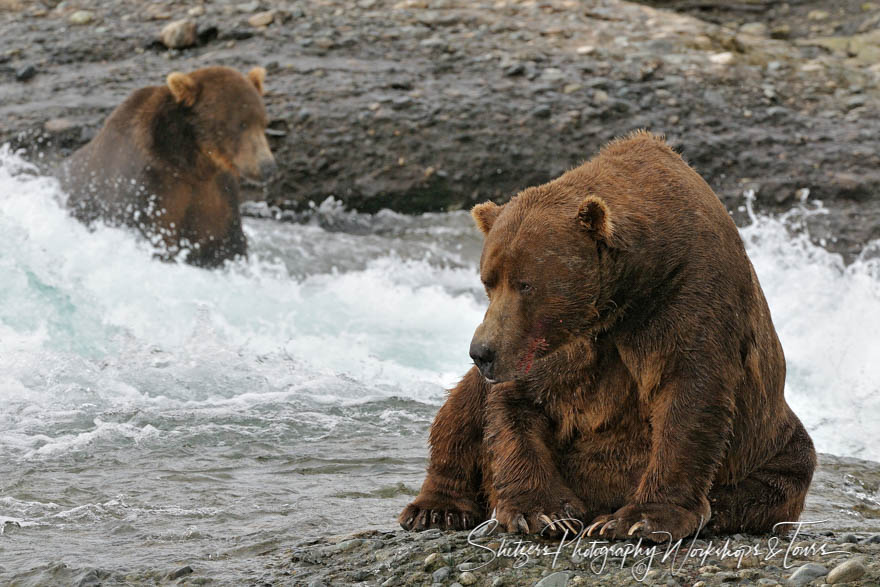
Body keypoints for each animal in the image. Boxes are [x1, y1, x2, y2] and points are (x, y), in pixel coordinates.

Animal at [62, 66, 276, 266]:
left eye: (263, 122)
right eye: (240, 124)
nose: (267, 166)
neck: (190, 164)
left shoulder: (216, 194)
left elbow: (226, 243)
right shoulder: (150, 188)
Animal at [400, 130, 820, 544]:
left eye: (526, 283)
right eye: (488, 280)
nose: (482, 352)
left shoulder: (690, 299)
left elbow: (689, 397)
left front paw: (639, 518)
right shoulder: (560, 349)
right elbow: (514, 409)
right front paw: (543, 512)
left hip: (771, 440)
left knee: (779, 476)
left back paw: (718, 509)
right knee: (460, 412)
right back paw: (436, 508)